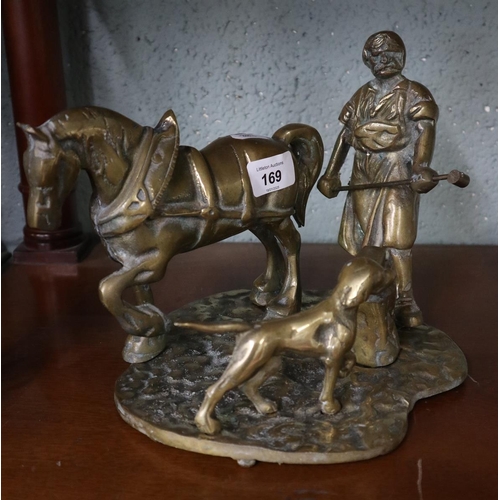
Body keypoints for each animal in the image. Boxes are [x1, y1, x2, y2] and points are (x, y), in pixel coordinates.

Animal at [20, 107, 324, 362]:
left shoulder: (155, 261)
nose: (39, 221)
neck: (135, 184)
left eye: (54, 166)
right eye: (26, 169)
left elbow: (107, 289)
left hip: (277, 216)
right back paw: (265, 289)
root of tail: (280, 142)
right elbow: (136, 293)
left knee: (291, 245)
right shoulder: (131, 257)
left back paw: (285, 303)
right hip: (256, 219)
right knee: (272, 245)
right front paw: (147, 341)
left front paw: (148, 325)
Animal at [175, 246, 394, 434]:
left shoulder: (335, 353)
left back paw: (264, 406)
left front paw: (345, 372)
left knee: (248, 386)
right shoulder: (332, 358)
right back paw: (206, 425)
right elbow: (330, 384)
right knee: (214, 390)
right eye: (380, 276)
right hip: (245, 364)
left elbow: (351, 358)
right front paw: (330, 407)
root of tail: (251, 327)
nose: (393, 276)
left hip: (271, 362)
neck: (341, 308)